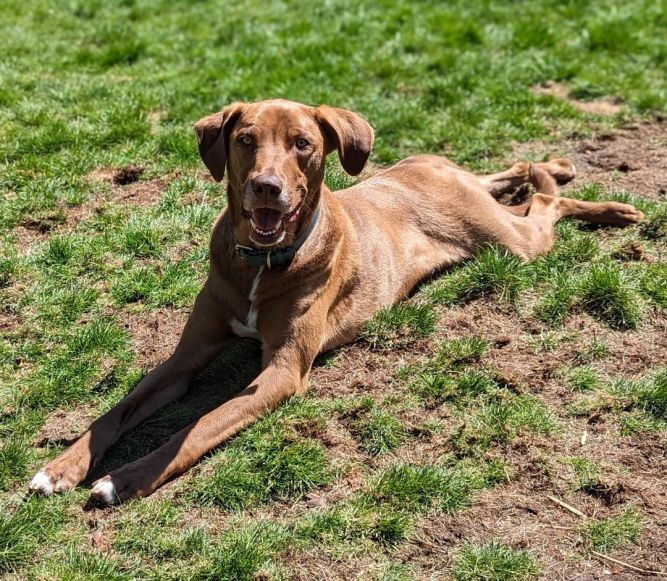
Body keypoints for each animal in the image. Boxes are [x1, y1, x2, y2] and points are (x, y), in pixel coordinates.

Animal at [30, 99, 640, 502]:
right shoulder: (182, 362)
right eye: (245, 140)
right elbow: (113, 413)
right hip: (459, 185)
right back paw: (550, 167)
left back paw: (605, 205)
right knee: (508, 178)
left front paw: (122, 479)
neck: (259, 264)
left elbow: (194, 429)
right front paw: (60, 467)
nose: (267, 187)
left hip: (510, 242)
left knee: (544, 206)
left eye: (304, 144)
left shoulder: (279, 372)